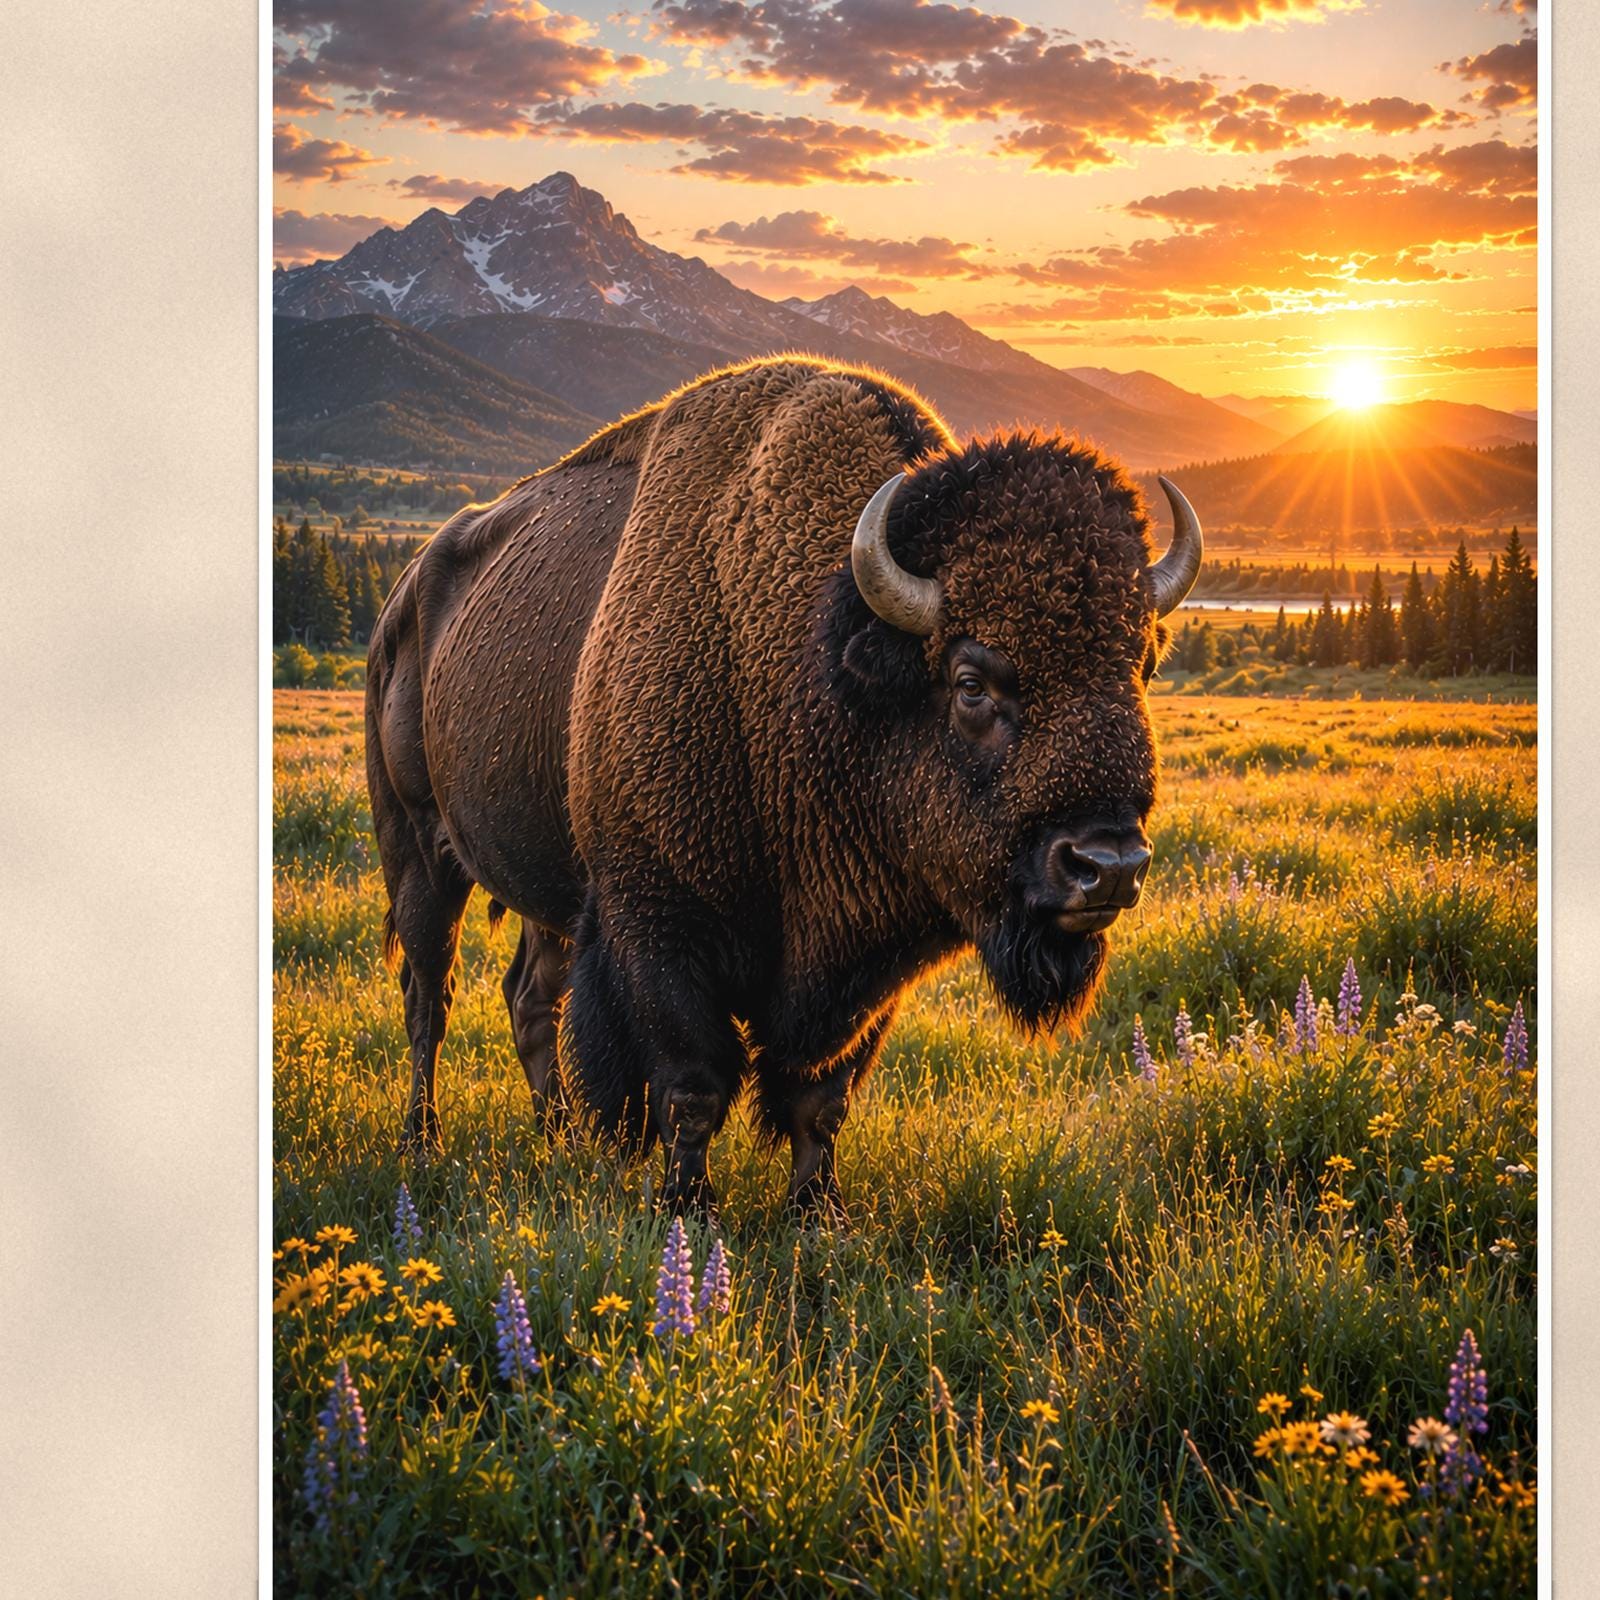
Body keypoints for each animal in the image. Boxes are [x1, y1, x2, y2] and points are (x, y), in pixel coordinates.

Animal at [366, 356, 1201, 1217]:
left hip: (546, 891)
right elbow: (692, 1086)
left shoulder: (865, 964)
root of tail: (402, 595)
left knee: (530, 996)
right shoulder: (657, 927)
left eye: (1141, 666)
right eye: (971, 682)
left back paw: (557, 1138)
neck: (815, 666)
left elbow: (820, 1096)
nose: (1108, 867)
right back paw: (422, 1144)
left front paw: (817, 1212)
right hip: (417, 852)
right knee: (429, 995)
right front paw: (687, 1209)